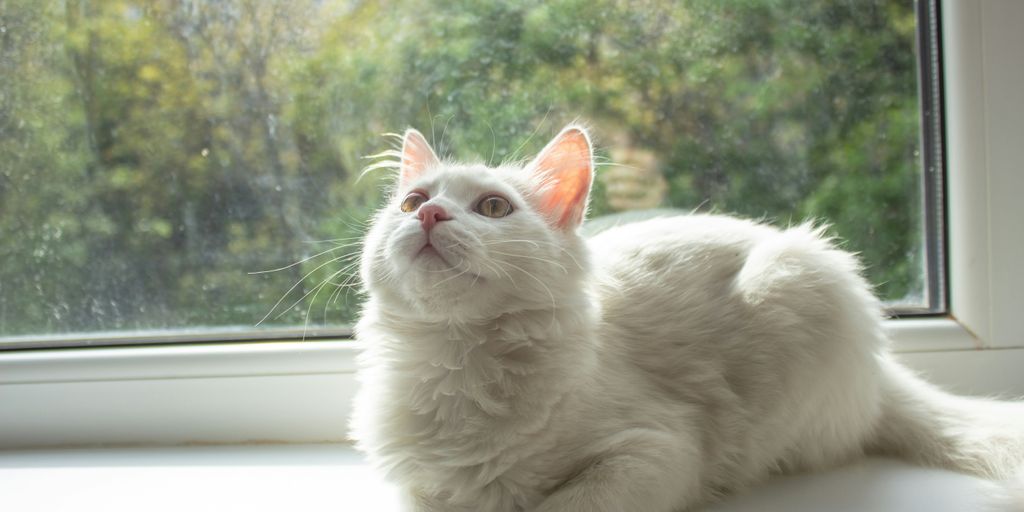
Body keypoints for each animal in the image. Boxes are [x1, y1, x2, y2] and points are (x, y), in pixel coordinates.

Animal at [350, 124, 1024, 512]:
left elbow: (566, 505)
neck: (457, 359)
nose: (430, 215)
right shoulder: (421, 489)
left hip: (797, 289)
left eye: (493, 208)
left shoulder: (654, 450)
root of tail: (882, 372)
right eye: (412, 202)